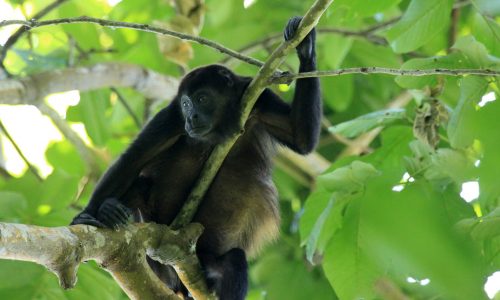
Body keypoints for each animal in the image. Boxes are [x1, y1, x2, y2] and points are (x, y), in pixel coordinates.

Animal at [70, 17, 320, 300]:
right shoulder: (171, 117)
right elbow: (132, 160)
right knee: (139, 186)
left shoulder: (259, 98)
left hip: (212, 258)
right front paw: (85, 216)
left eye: (202, 98)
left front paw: (306, 48)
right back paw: (110, 212)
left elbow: (301, 138)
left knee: (234, 259)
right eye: (187, 104)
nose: (192, 118)